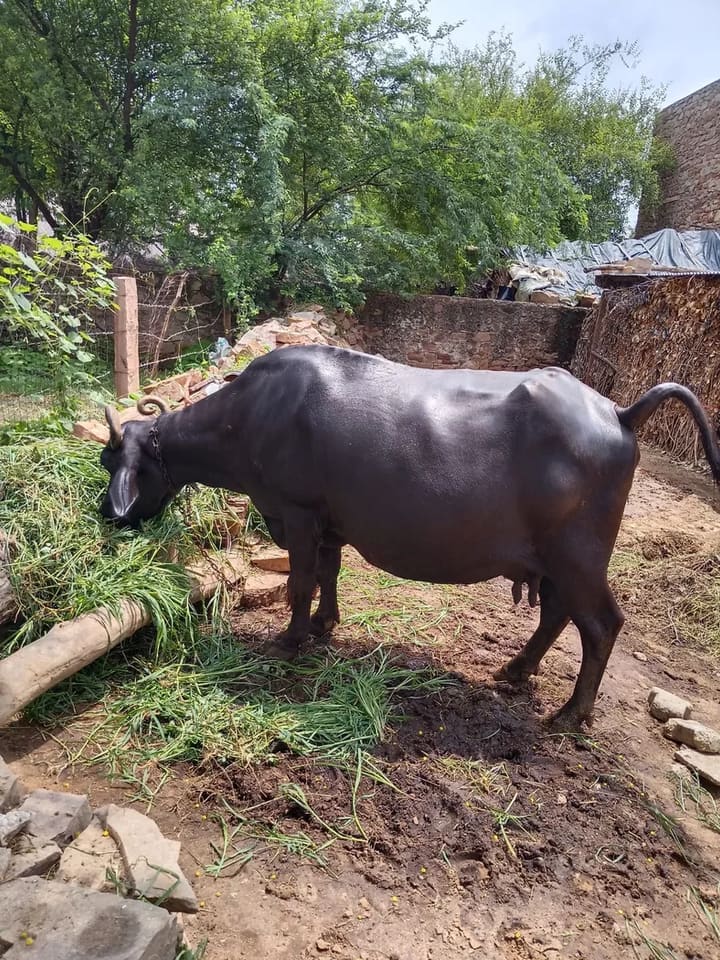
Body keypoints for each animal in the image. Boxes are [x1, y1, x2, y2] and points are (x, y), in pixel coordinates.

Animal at [100, 345, 720, 728]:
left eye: (113, 462)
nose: (108, 514)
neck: (251, 416)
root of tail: (617, 411)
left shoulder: (296, 513)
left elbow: (300, 581)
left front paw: (291, 638)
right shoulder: (329, 522)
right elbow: (328, 574)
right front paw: (325, 625)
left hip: (580, 556)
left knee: (601, 624)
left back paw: (570, 715)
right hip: (556, 560)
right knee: (557, 615)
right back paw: (515, 672)